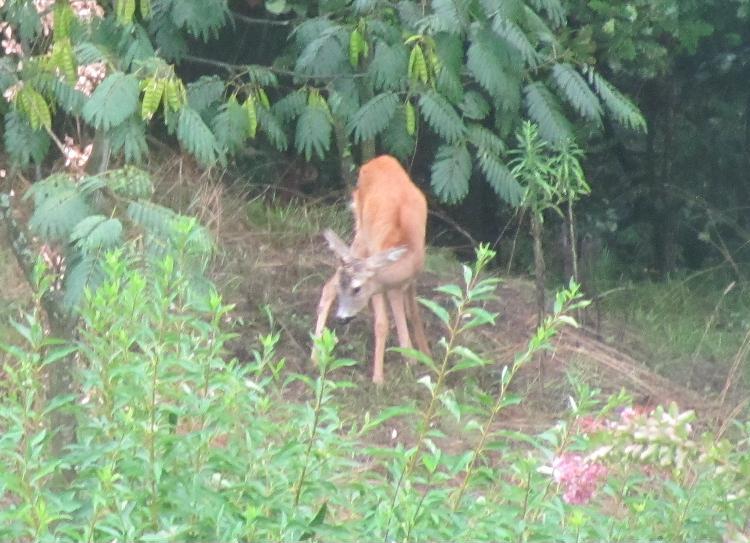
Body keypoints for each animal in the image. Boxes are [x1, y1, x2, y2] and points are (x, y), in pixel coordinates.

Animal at [312, 153, 432, 384]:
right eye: (347, 288)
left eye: (357, 288)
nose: (341, 318)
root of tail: (377, 160)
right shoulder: (378, 283)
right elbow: (382, 323)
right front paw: (378, 378)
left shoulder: (410, 278)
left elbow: (413, 312)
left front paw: (421, 356)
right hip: (362, 233)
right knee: (328, 285)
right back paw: (315, 356)